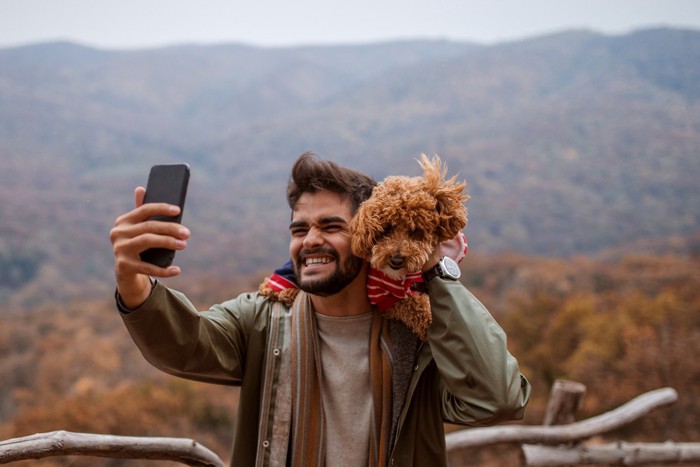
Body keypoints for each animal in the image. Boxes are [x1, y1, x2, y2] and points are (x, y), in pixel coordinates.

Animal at [350, 155, 470, 342]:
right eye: (386, 229)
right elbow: (412, 304)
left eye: (415, 230)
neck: (404, 276)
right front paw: (429, 321)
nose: (396, 260)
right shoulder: (382, 295)